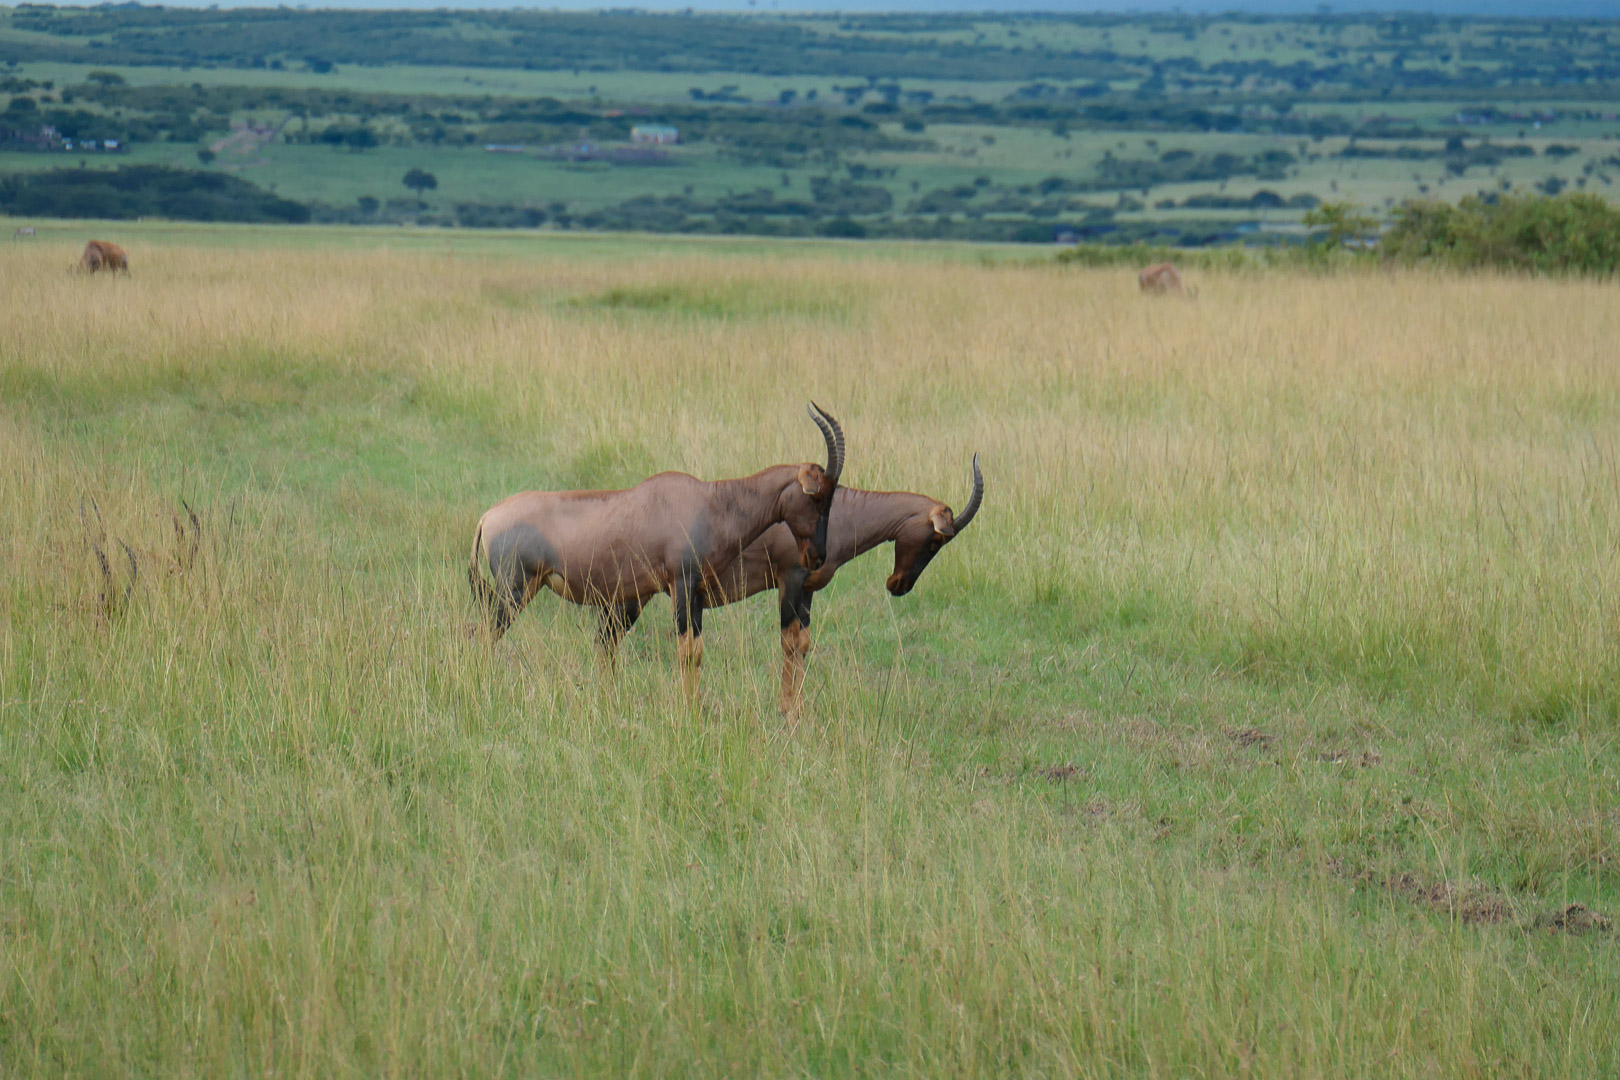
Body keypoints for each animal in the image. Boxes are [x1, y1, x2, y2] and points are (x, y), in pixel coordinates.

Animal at [468, 404, 846, 700]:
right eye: (818, 496)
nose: (816, 557)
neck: (710, 503)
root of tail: (488, 516)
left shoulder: (696, 593)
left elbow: (695, 652)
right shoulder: (681, 586)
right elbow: (686, 652)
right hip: (515, 590)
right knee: (484, 633)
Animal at [602, 455, 984, 719]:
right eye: (936, 541)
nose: (898, 585)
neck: (839, 513)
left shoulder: (808, 591)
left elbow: (802, 644)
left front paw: (797, 709)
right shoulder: (791, 580)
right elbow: (788, 644)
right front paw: (788, 712)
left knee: (607, 635)